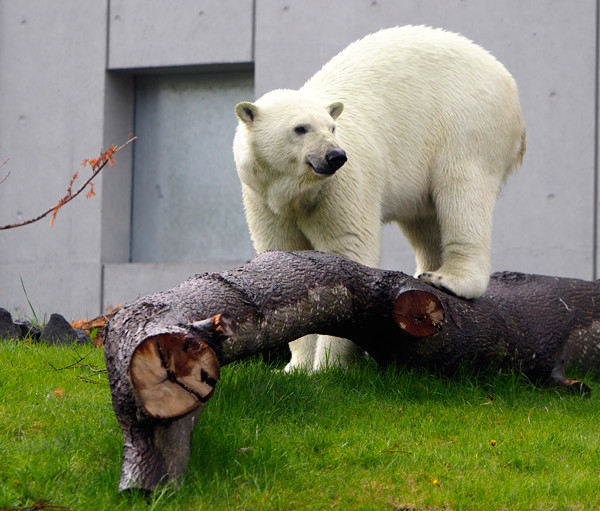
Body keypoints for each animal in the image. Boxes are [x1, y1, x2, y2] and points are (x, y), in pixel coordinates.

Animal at [233, 26, 524, 372]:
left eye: (332, 127)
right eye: (300, 128)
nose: (335, 156)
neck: (297, 191)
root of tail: (504, 76)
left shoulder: (341, 186)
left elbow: (348, 252)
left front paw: (328, 367)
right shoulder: (262, 197)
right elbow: (285, 257)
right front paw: (295, 367)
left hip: (468, 121)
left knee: (462, 191)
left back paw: (448, 278)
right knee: (424, 221)